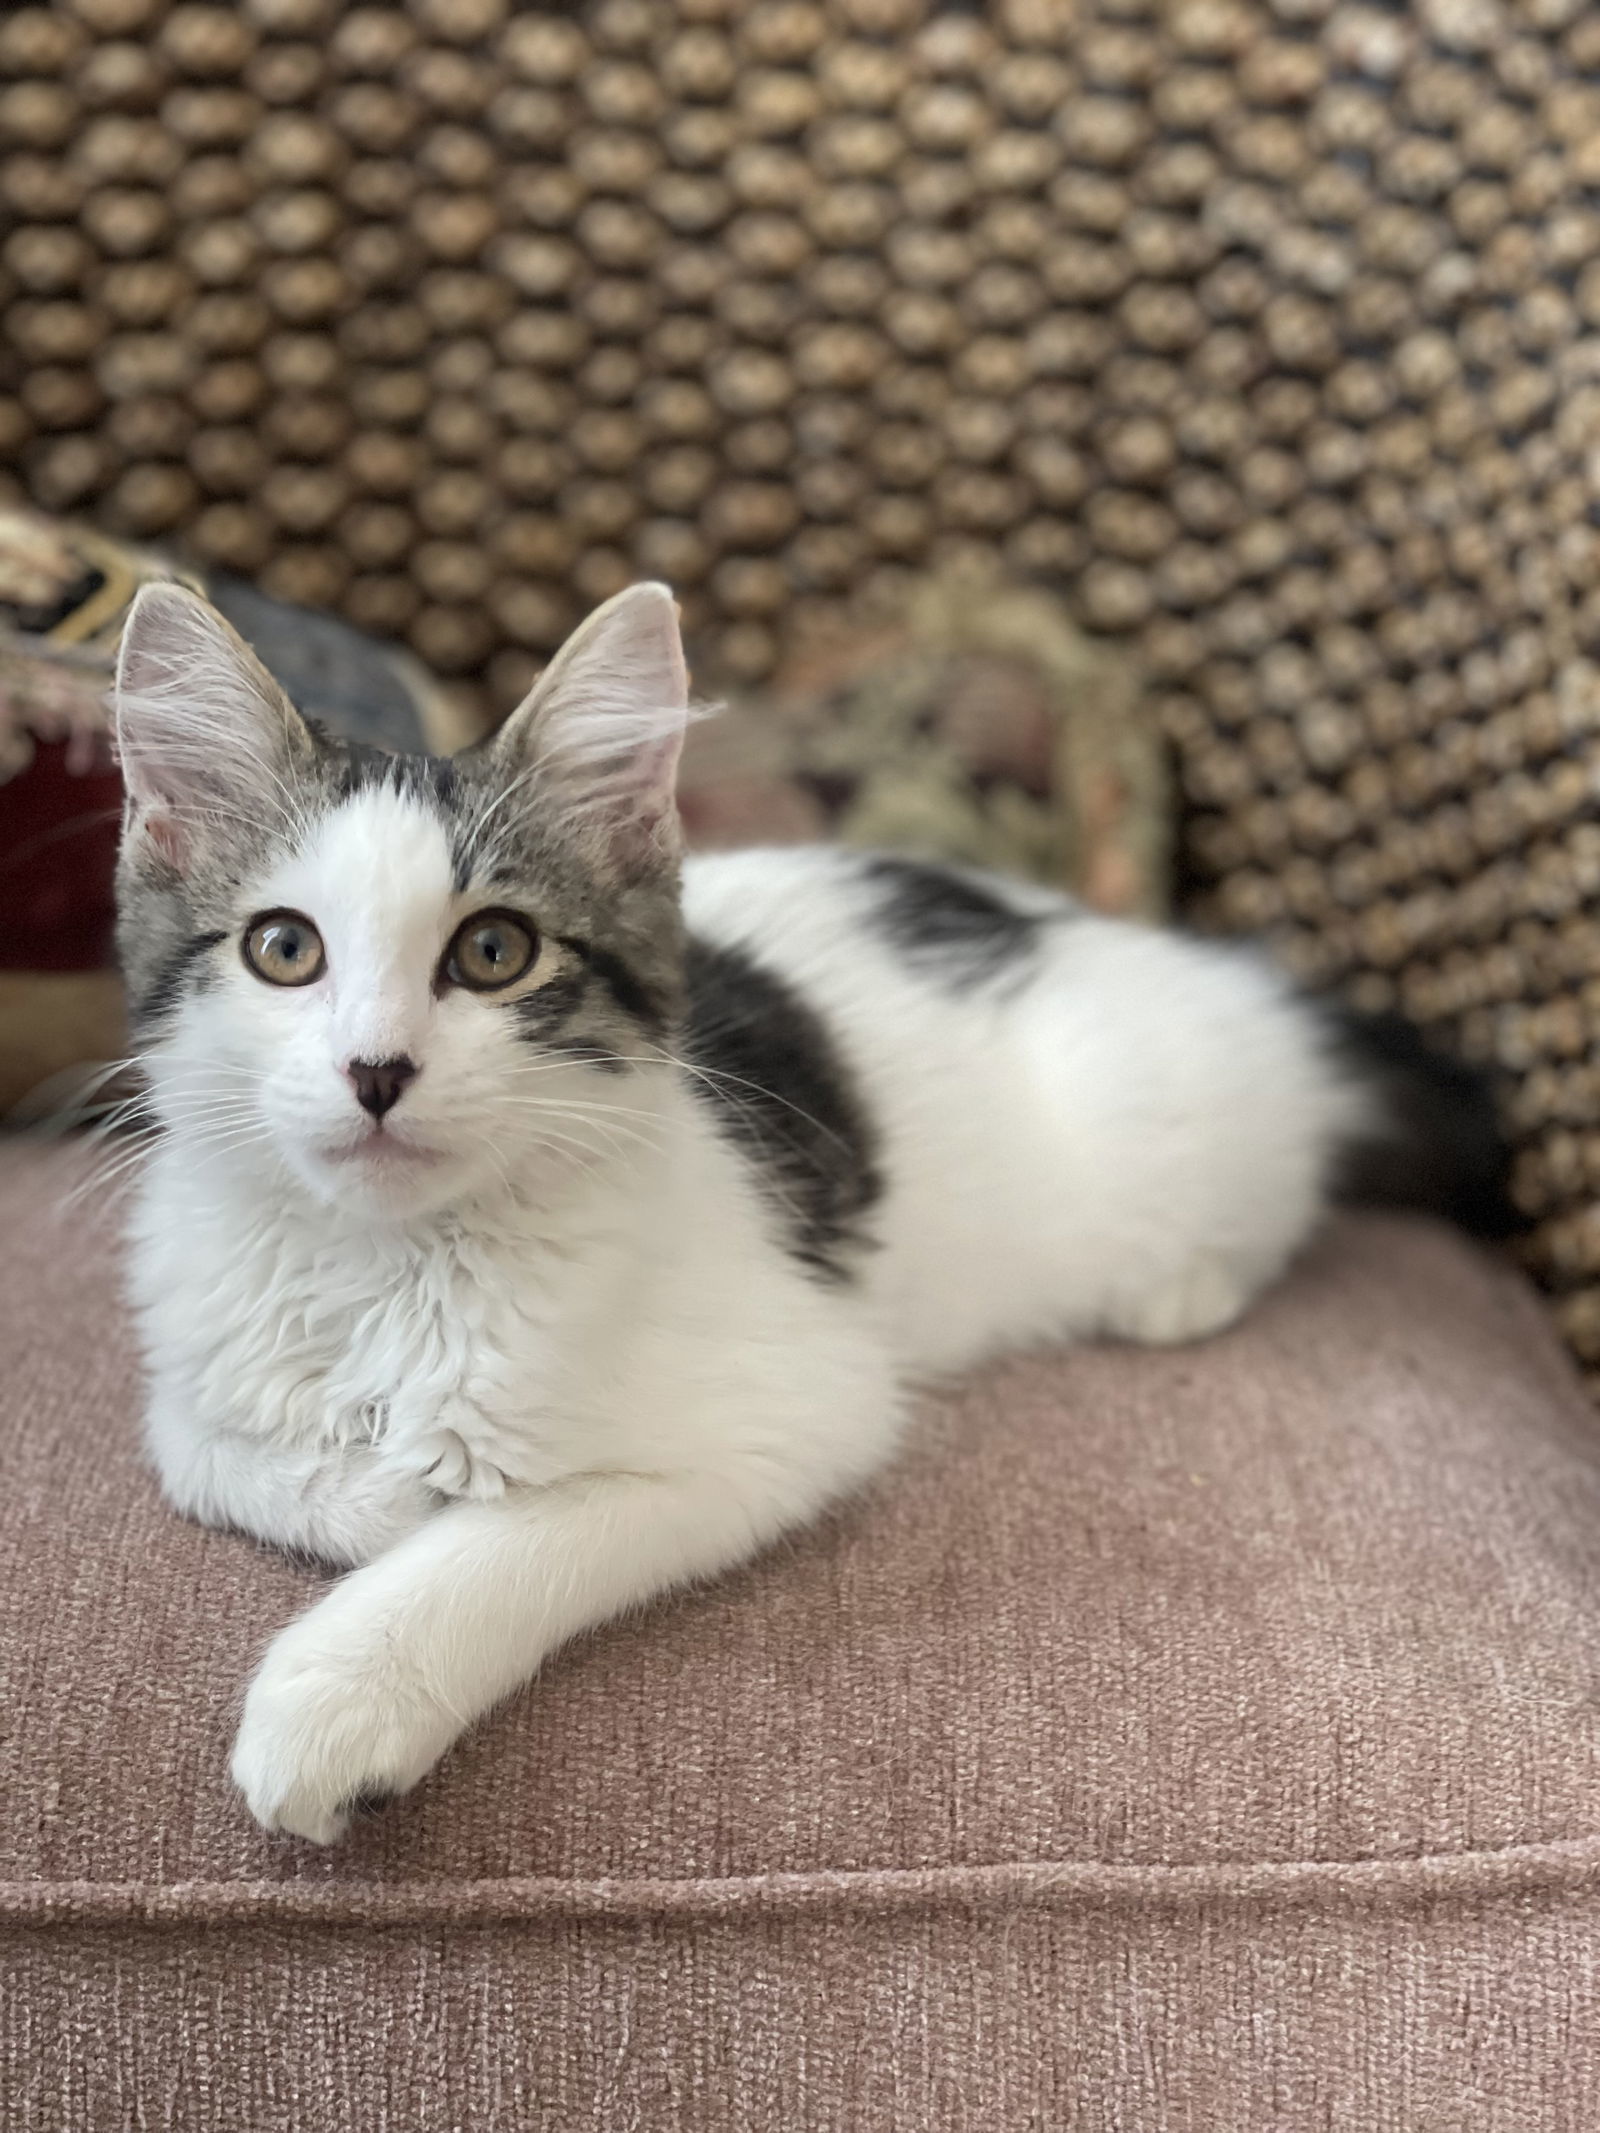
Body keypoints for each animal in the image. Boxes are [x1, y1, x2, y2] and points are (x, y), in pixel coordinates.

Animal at [113, 575, 1518, 1842]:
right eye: (284, 949)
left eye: (494, 953)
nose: (377, 1071)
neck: (388, 1260)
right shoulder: (193, 1359)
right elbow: (211, 1453)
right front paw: (385, 1493)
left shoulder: (796, 1411)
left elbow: (520, 1530)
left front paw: (344, 1686)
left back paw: (1179, 1289)